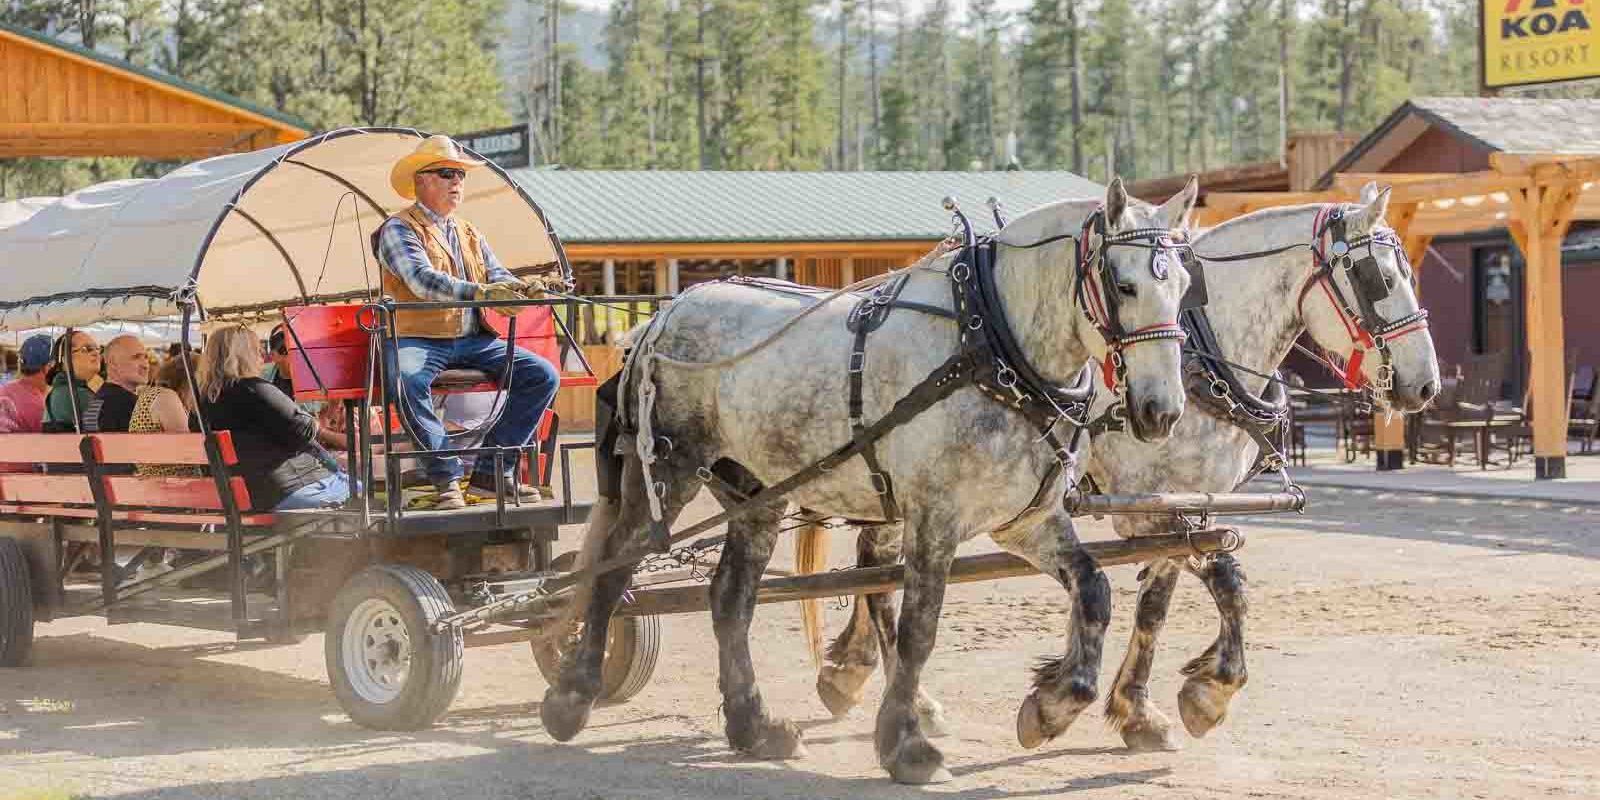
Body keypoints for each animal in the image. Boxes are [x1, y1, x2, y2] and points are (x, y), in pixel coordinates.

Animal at [544, 178, 1196, 784]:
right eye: (1125, 285)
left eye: (1185, 287)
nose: (1161, 410)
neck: (989, 343)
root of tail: (661, 318)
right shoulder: (936, 517)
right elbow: (918, 630)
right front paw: (906, 743)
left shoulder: (1025, 520)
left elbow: (1095, 591)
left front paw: (1051, 706)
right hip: (666, 470)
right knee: (614, 569)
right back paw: (573, 696)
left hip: (752, 491)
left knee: (730, 597)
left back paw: (755, 725)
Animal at [819, 183, 1446, 755]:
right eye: (1378, 278)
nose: (1424, 385)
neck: (1201, 355)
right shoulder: (1144, 508)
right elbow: (1222, 580)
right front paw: (1199, 693)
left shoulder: (1188, 504)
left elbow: (1159, 604)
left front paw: (1141, 708)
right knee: (880, 563)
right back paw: (899, 697)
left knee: (876, 560)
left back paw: (856, 672)